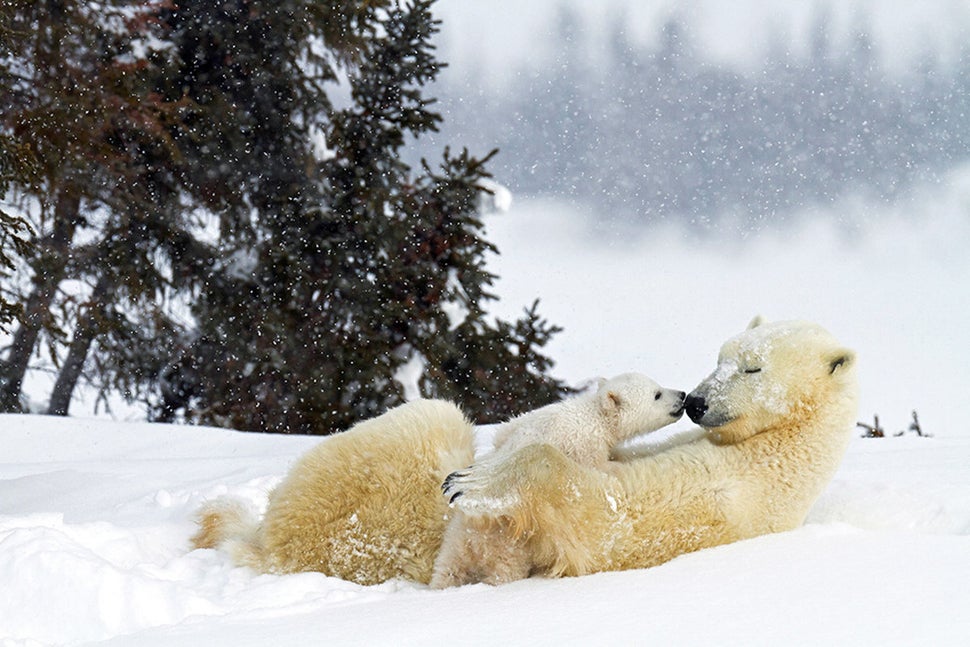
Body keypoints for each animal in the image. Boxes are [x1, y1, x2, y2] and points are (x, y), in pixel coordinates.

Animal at [191, 318, 856, 588]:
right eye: (722, 355)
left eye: (751, 367)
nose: (693, 400)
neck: (782, 451)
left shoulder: (722, 493)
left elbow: (602, 509)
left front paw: (475, 483)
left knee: (436, 418)